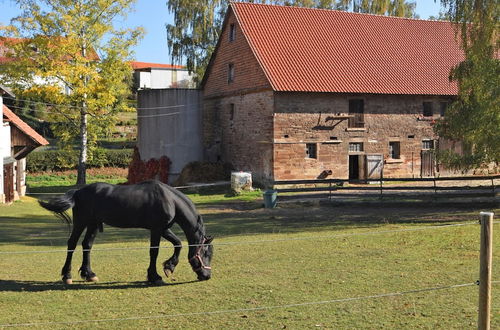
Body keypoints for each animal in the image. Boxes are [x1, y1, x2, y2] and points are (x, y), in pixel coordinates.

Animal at [37, 179, 213, 284]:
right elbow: (154, 252)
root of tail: (78, 192)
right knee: (72, 244)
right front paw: (155, 276)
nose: (207, 276)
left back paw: (89, 274)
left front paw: (169, 266)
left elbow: (178, 244)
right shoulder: (156, 229)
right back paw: (67, 276)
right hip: (82, 222)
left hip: (93, 224)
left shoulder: (164, 229)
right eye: (206, 253)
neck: (170, 199)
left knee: (86, 245)